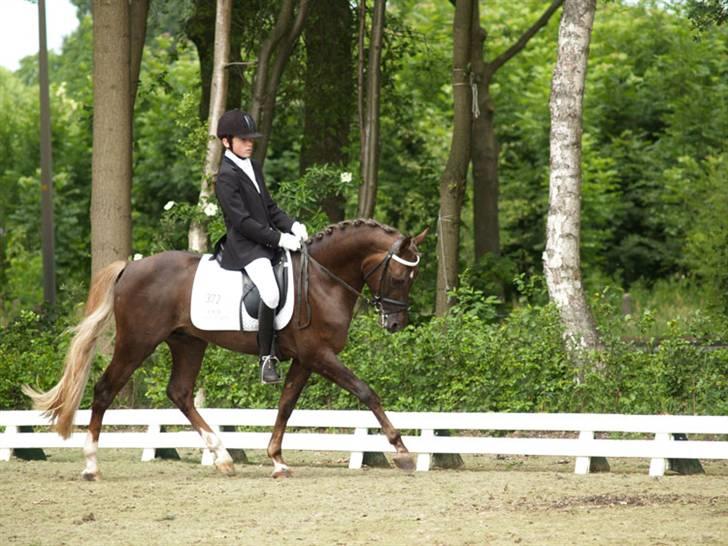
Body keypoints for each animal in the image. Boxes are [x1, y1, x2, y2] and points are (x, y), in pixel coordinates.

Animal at [24, 219, 426, 478]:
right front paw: (402, 452)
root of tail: (130, 268)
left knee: (180, 393)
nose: (395, 323)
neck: (323, 280)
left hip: (188, 342)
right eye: (398, 277)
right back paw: (91, 465)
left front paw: (277, 460)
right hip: (136, 343)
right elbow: (366, 391)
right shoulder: (319, 355)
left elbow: (286, 406)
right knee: (105, 390)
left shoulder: (306, 360)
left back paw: (222, 457)